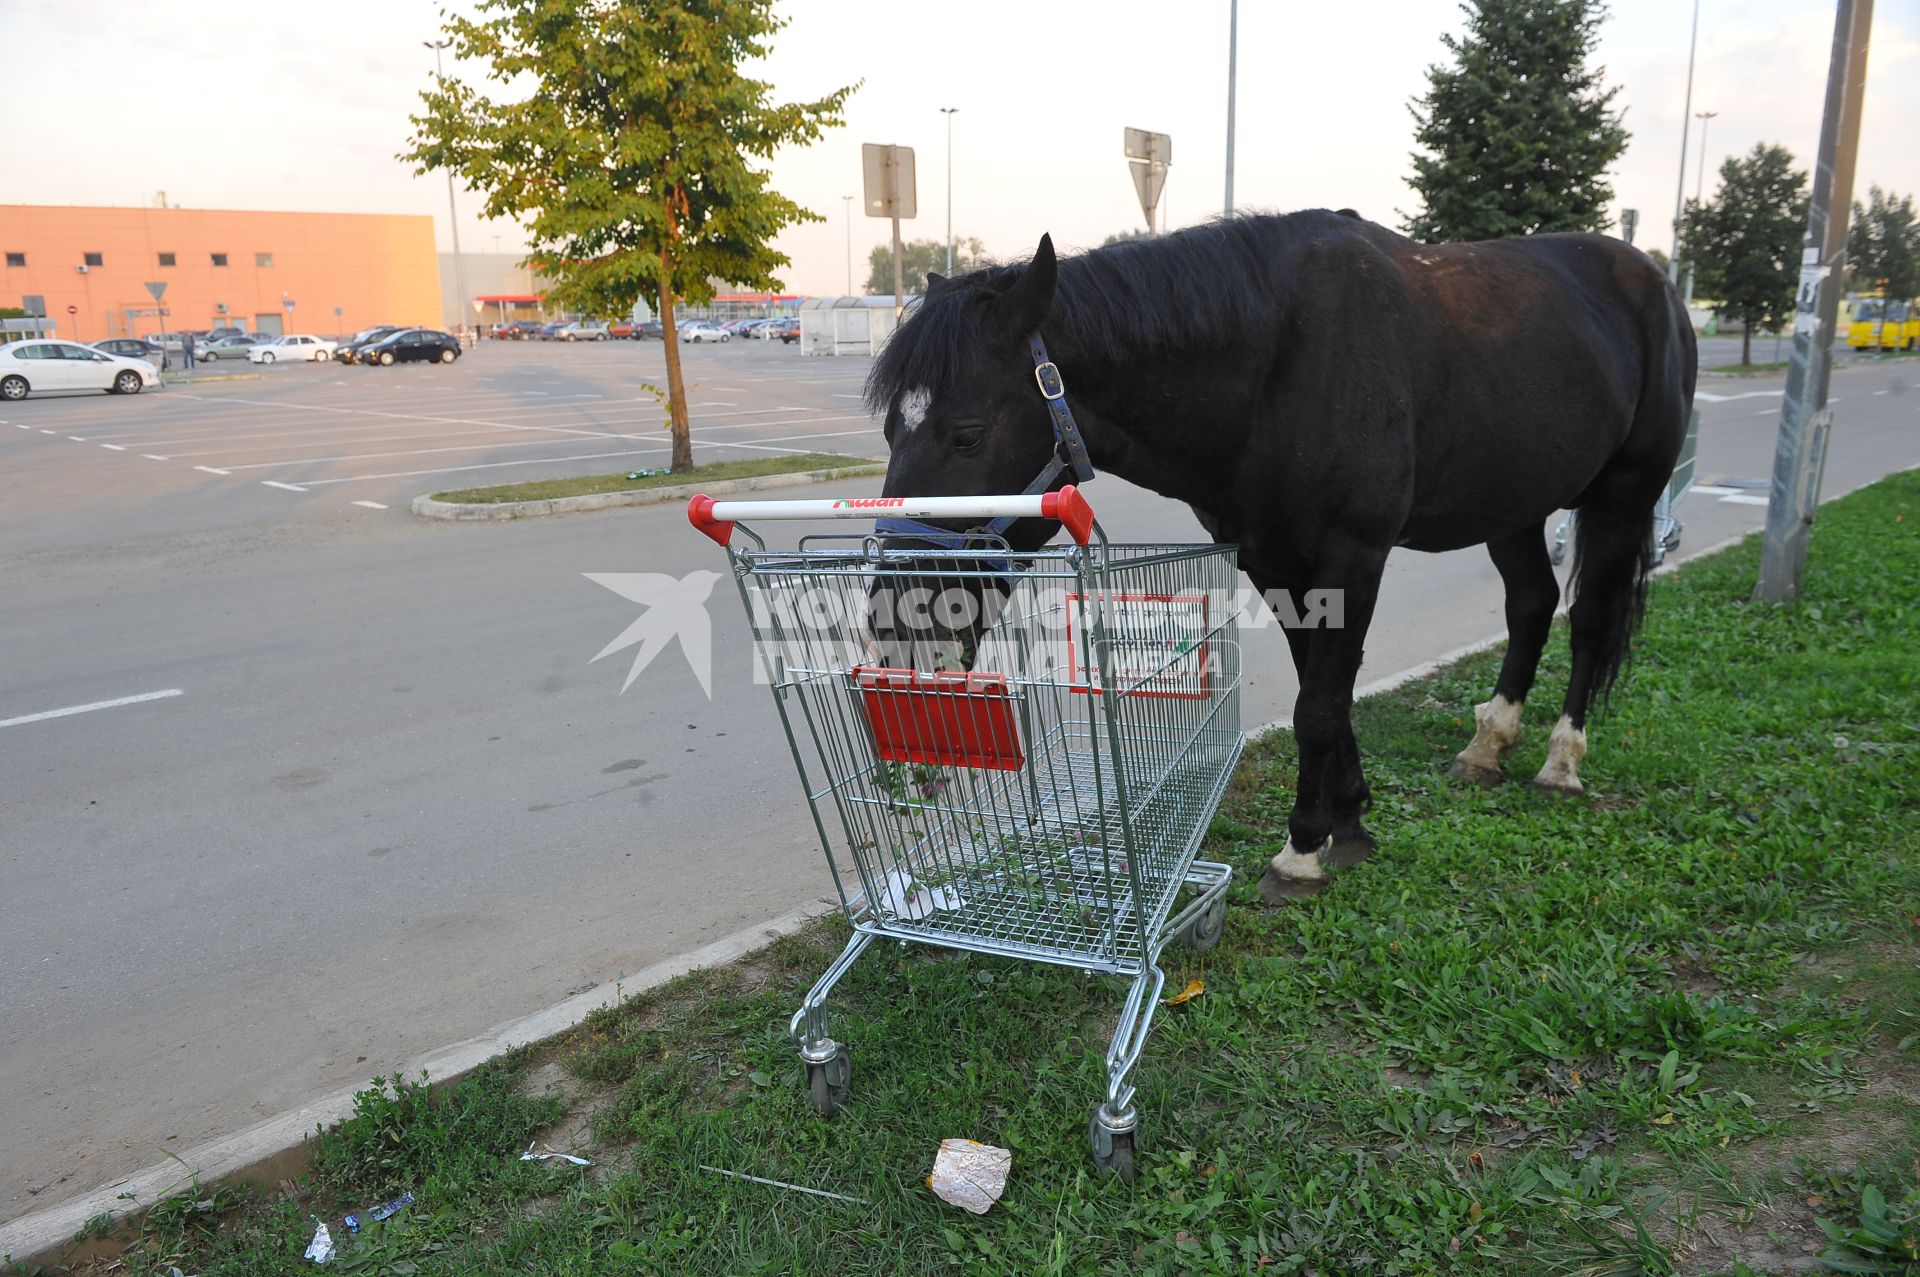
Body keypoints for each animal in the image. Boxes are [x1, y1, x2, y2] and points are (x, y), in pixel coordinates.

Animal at [871, 209, 1697, 887]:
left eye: (966, 433)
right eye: (887, 428)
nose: (893, 631)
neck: (1280, 367)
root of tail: (1654, 280)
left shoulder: (1354, 556)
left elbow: (1320, 705)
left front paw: (1303, 849)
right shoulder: (1272, 560)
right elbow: (1320, 687)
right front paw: (1349, 817)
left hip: (1623, 495)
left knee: (1588, 619)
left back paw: (1562, 759)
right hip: (1514, 504)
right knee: (1531, 604)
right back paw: (1488, 745)